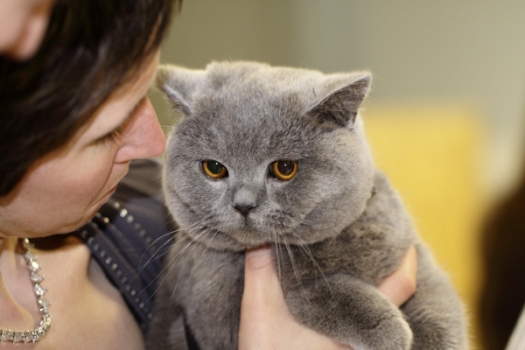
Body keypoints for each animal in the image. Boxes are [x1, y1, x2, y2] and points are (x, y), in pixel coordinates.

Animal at [146, 61, 466, 348]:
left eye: (284, 168)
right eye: (213, 168)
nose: (244, 204)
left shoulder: (413, 255)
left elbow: (438, 300)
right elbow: (328, 291)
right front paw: (391, 332)